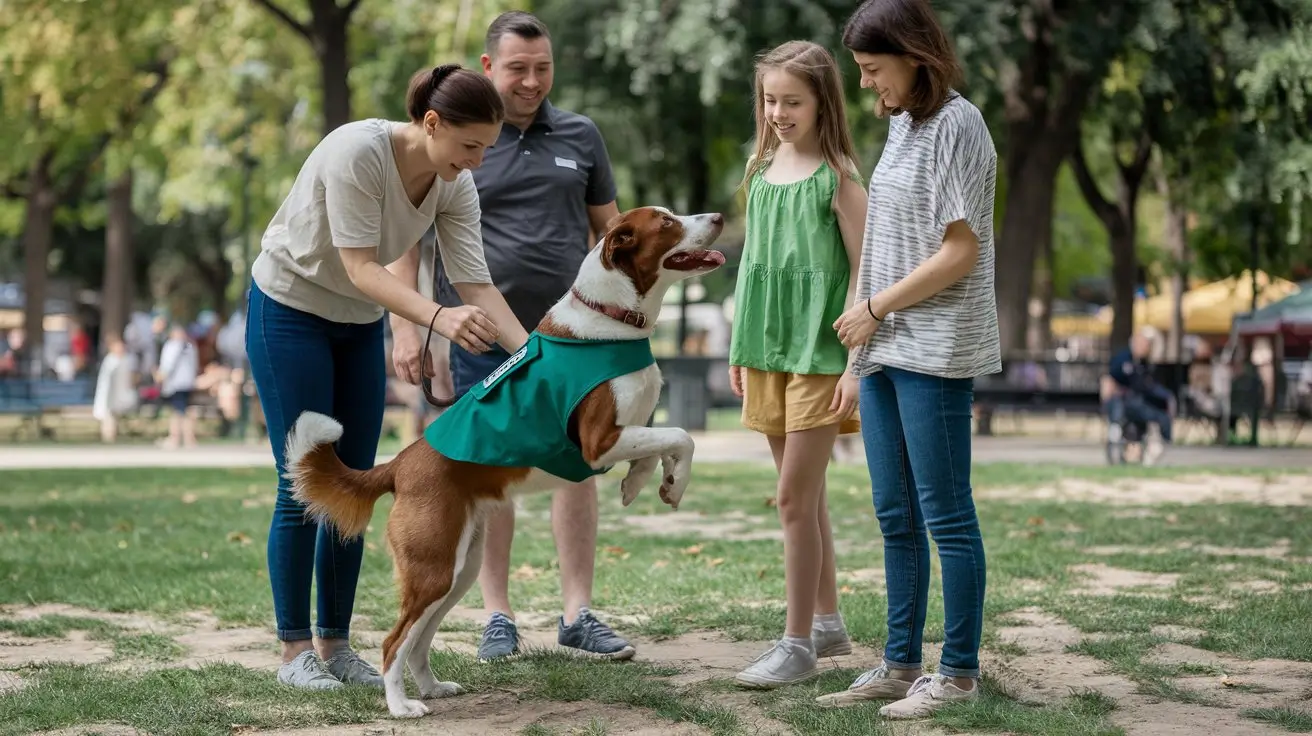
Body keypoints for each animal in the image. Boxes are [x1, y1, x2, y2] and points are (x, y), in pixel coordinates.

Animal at [283, 207, 729, 718]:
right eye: (666, 222)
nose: (719, 216)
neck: (611, 318)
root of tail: (399, 463)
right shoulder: (598, 442)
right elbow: (681, 436)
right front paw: (672, 482)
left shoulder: (628, 431)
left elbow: (659, 447)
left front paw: (645, 483)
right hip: (433, 566)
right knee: (394, 641)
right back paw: (401, 706)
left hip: (460, 567)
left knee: (419, 639)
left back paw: (432, 687)